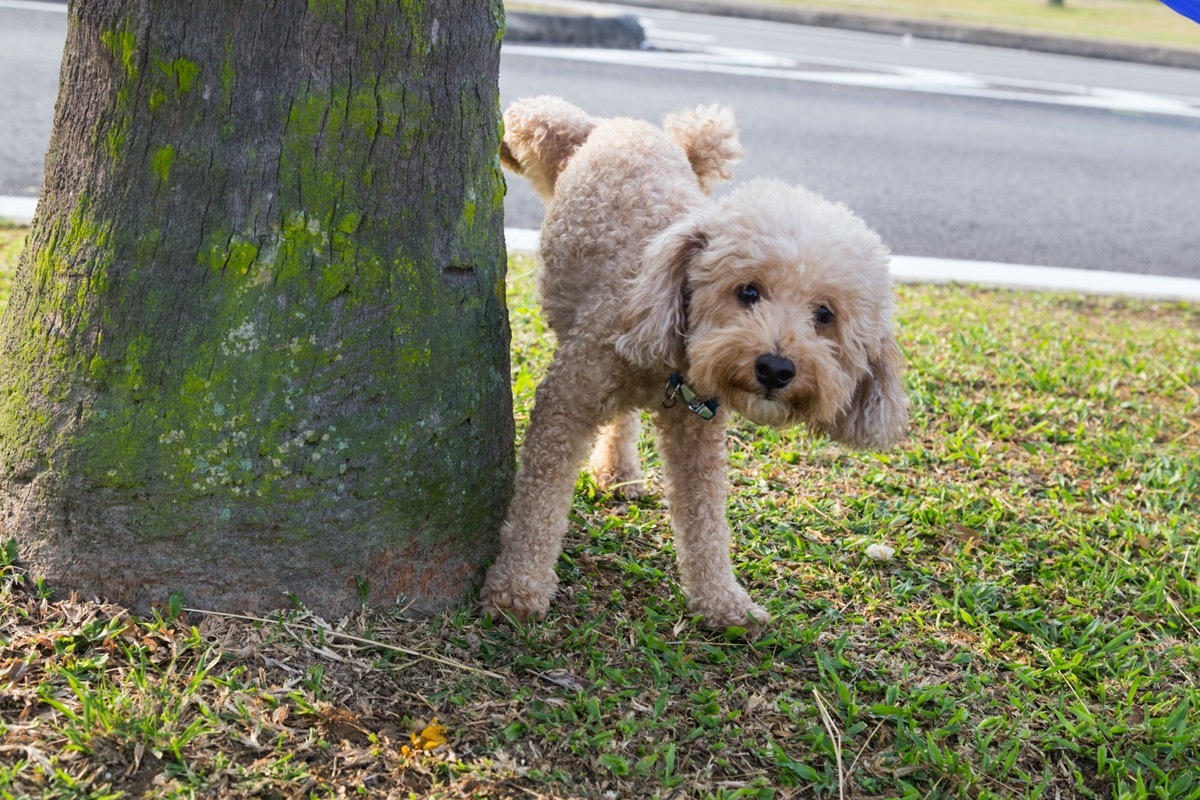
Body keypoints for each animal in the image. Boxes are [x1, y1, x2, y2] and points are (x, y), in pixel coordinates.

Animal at [482, 95, 902, 633]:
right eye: (748, 291)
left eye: (824, 315)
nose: (775, 369)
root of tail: (628, 126)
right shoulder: (567, 401)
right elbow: (539, 502)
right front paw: (518, 586)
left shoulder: (697, 431)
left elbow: (705, 520)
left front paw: (723, 601)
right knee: (536, 113)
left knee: (623, 420)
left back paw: (619, 472)